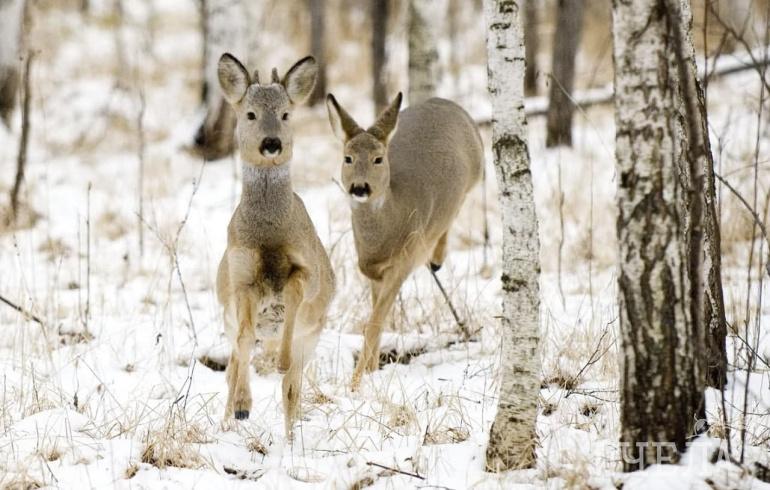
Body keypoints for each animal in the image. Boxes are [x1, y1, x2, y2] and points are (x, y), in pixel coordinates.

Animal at [216, 53, 336, 436]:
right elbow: (243, 341)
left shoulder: (307, 270)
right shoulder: (240, 278)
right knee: (231, 366)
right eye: (250, 114)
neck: (268, 236)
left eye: (285, 114)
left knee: (292, 389)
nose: (271, 143)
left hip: (313, 335)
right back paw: (228, 420)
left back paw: (290, 438)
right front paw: (243, 406)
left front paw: (280, 361)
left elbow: (294, 293)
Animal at [328, 93, 484, 390]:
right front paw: (371, 371)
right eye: (347, 158)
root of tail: (446, 101)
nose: (359, 187)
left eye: (378, 158)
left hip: (475, 174)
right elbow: (378, 320)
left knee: (455, 211)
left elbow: (373, 323)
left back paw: (436, 259)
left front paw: (355, 384)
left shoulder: (402, 263)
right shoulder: (373, 273)